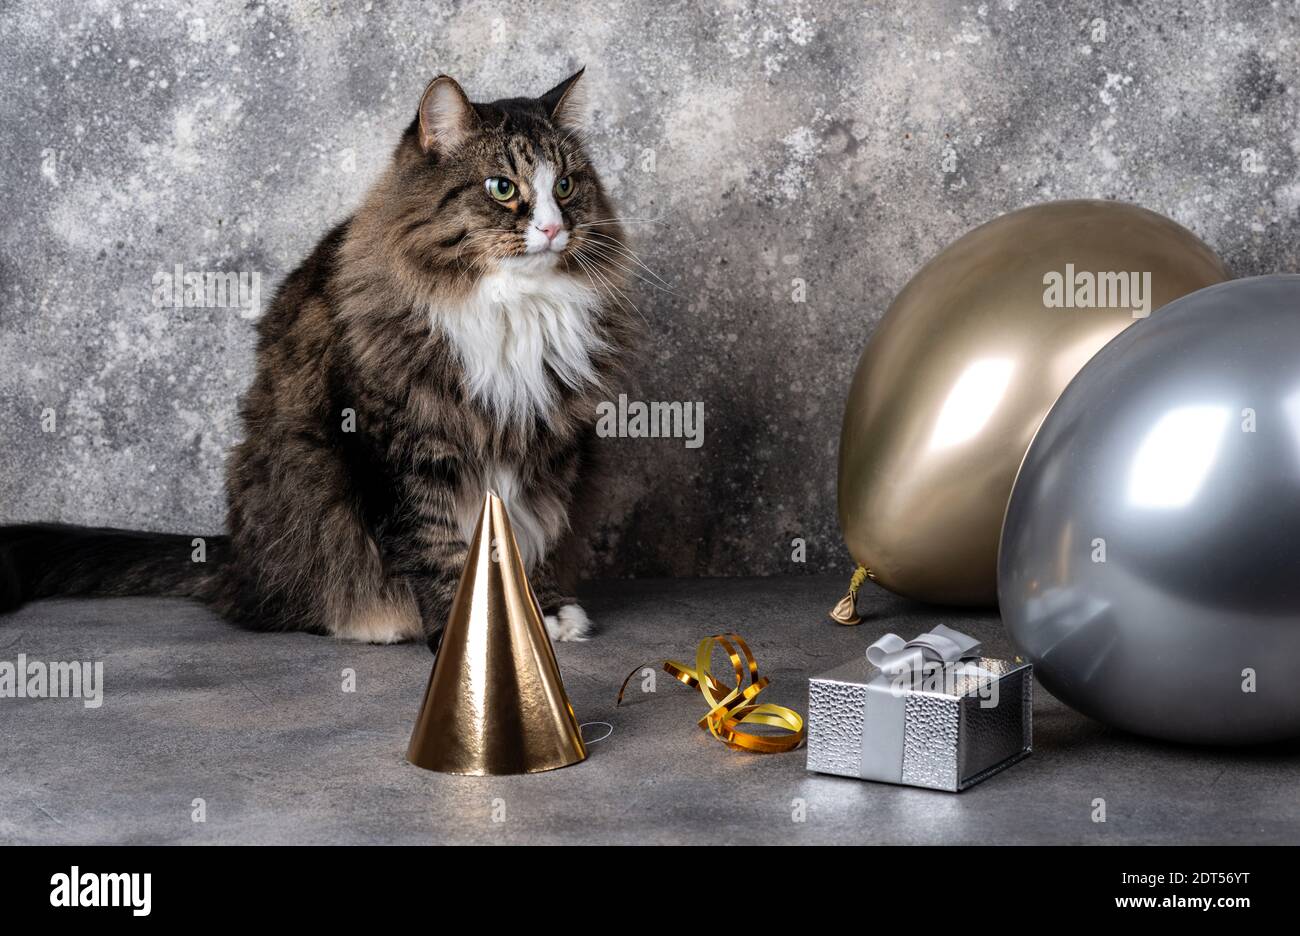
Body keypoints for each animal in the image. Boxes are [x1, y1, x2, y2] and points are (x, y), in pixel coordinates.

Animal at [0, 69, 634, 650]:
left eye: (567, 185)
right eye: (502, 187)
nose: (553, 227)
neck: (512, 306)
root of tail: (235, 561)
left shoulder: (550, 447)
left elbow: (538, 536)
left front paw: (540, 614)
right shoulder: (397, 446)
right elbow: (435, 546)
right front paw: (467, 635)